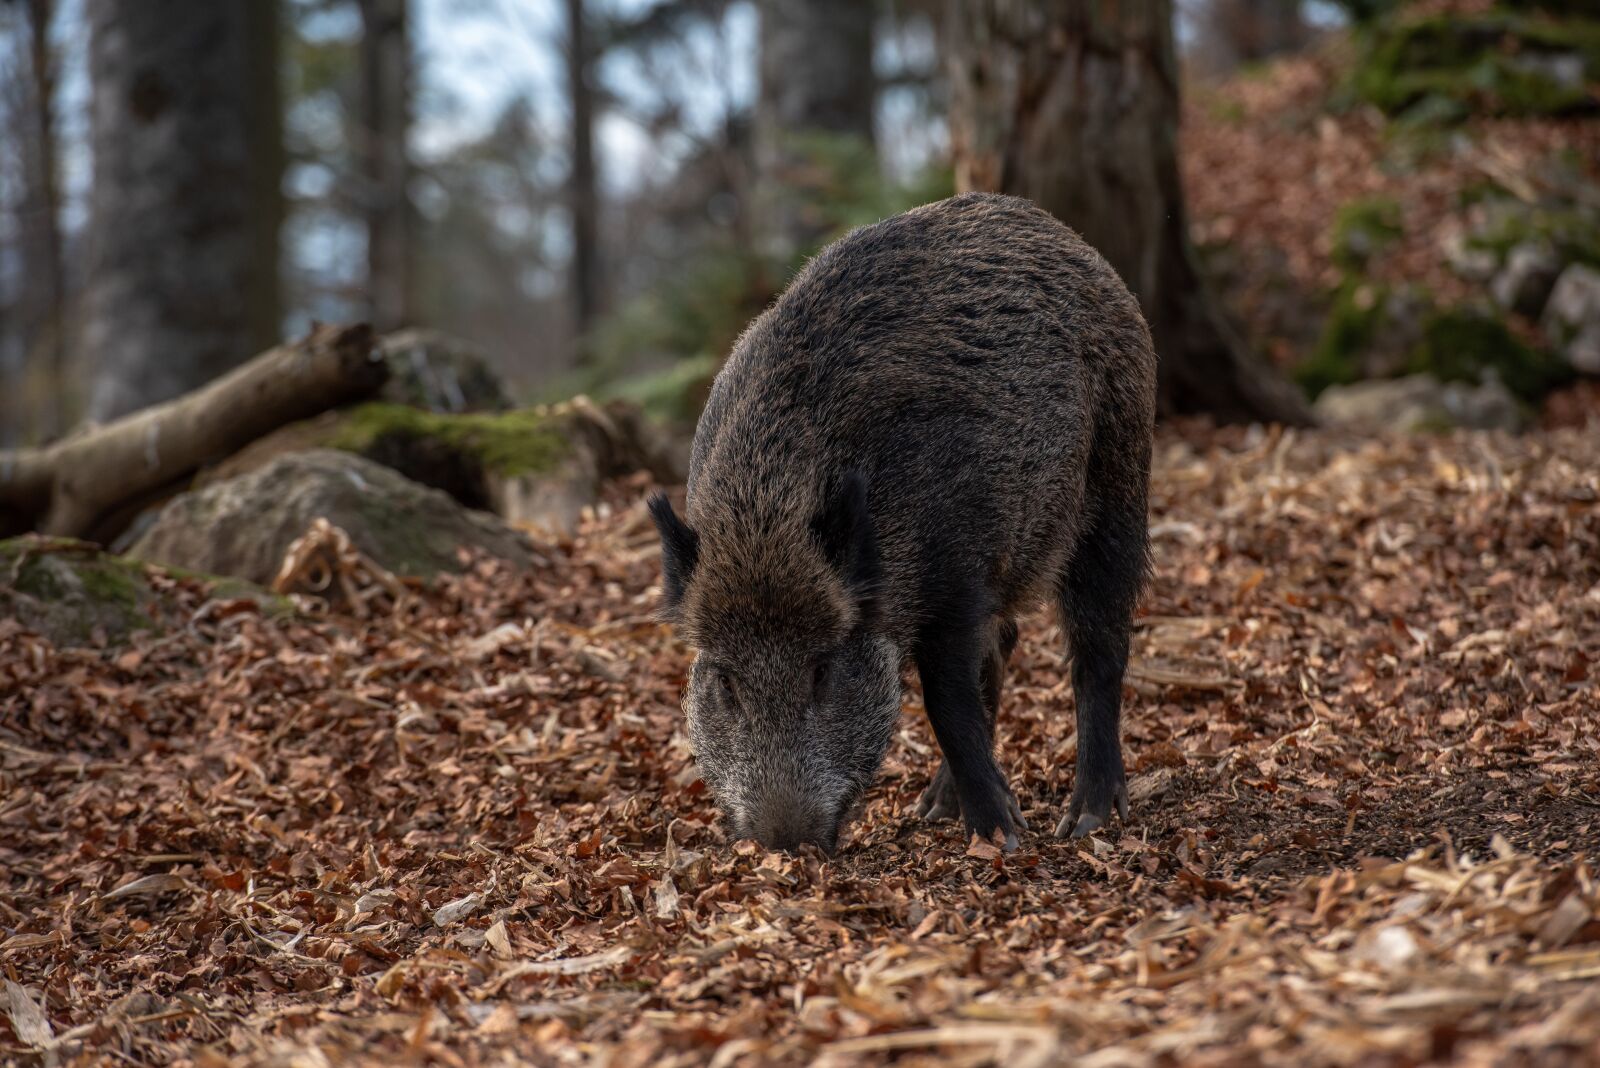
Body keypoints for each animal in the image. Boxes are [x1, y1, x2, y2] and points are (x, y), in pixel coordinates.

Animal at [650, 192, 1155, 852]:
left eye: (822, 670)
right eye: (727, 683)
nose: (784, 842)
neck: (766, 513)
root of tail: (1065, 237)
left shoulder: (957, 570)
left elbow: (947, 699)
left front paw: (1003, 835)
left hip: (1118, 479)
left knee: (1098, 645)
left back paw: (1086, 819)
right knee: (1006, 645)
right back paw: (935, 807)